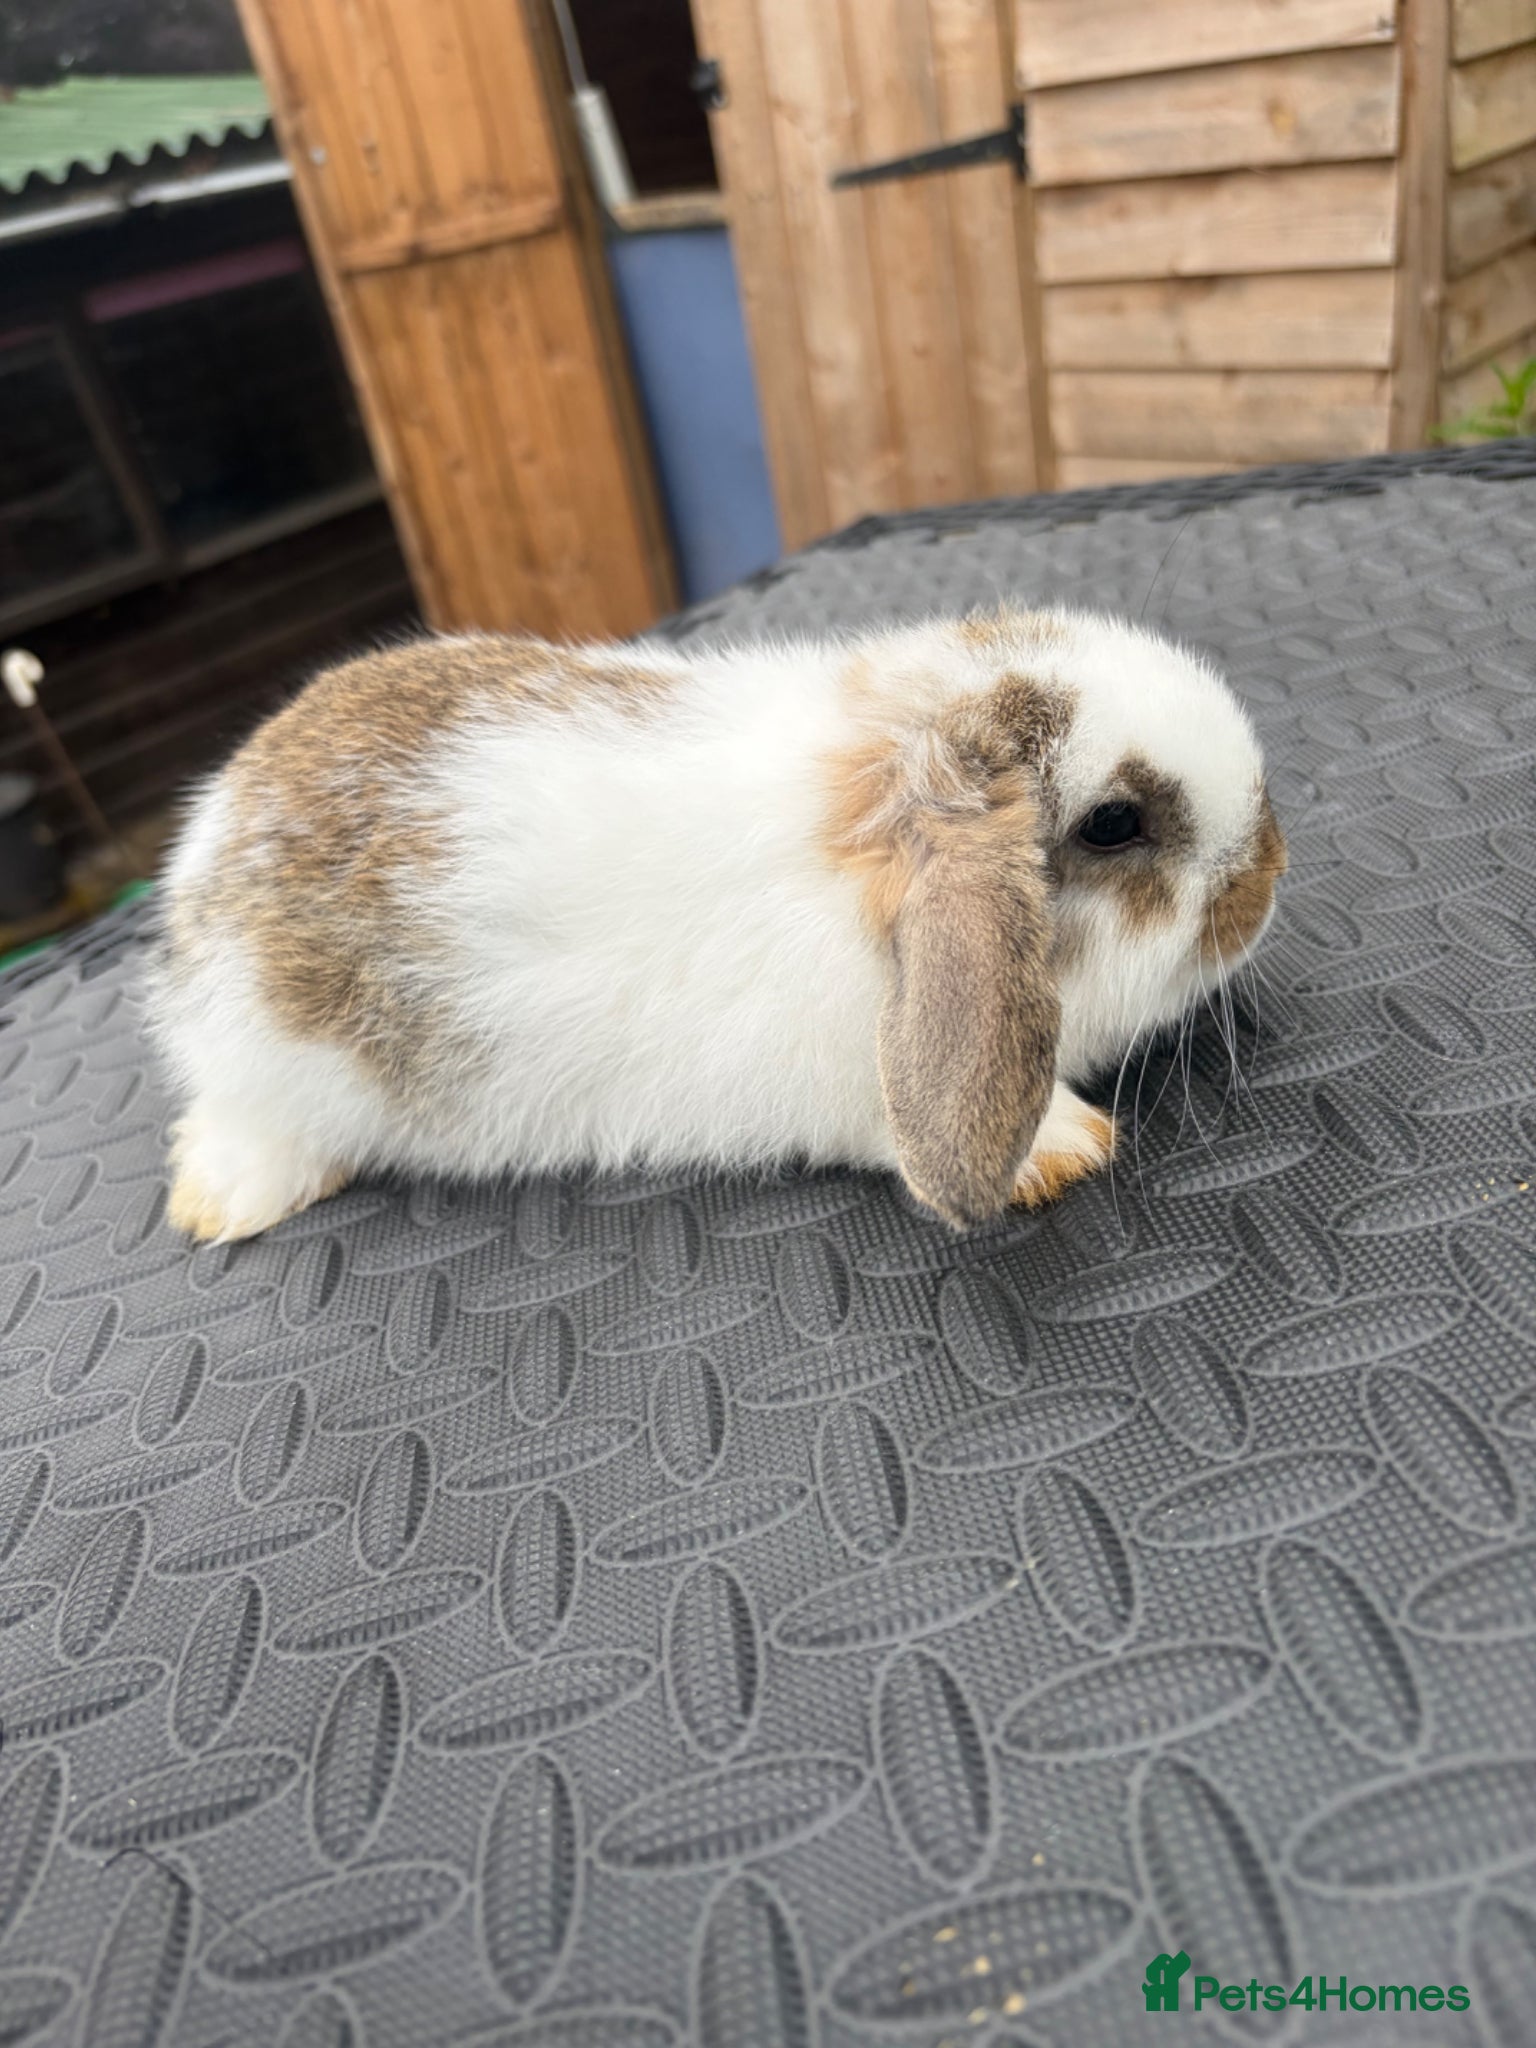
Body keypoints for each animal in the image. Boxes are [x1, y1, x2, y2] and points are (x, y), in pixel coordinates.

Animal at [149, 606, 1285, 1243]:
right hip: (278, 1074)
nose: (1267, 872)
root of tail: (206, 839)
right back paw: (220, 1207)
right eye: (1113, 822)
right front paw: (1066, 1147)